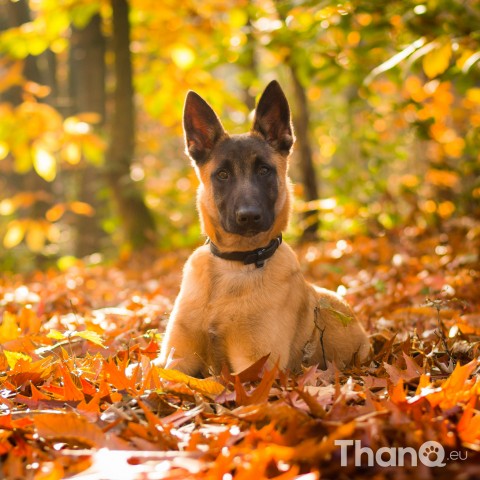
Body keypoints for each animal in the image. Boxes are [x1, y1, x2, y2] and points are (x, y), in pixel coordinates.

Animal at [158, 80, 372, 376]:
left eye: (264, 170)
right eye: (222, 175)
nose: (249, 216)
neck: (236, 265)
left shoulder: (256, 365)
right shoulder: (175, 359)